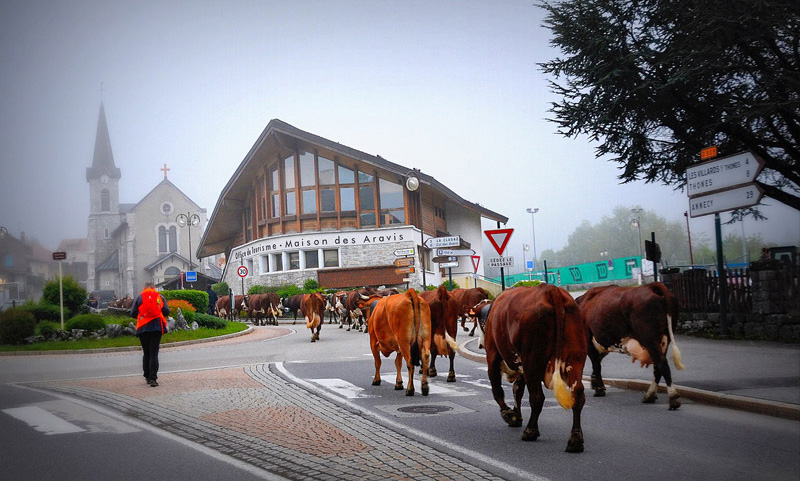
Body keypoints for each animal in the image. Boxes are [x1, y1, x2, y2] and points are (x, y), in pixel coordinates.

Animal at [482, 284, 588, 454]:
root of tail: (551, 290)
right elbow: (517, 390)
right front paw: (516, 415)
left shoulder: (493, 354)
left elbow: (497, 389)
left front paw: (509, 414)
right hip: (575, 357)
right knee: (577, 392)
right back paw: (575, 440)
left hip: (532, 358)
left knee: (537, 397)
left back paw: (530, 430)